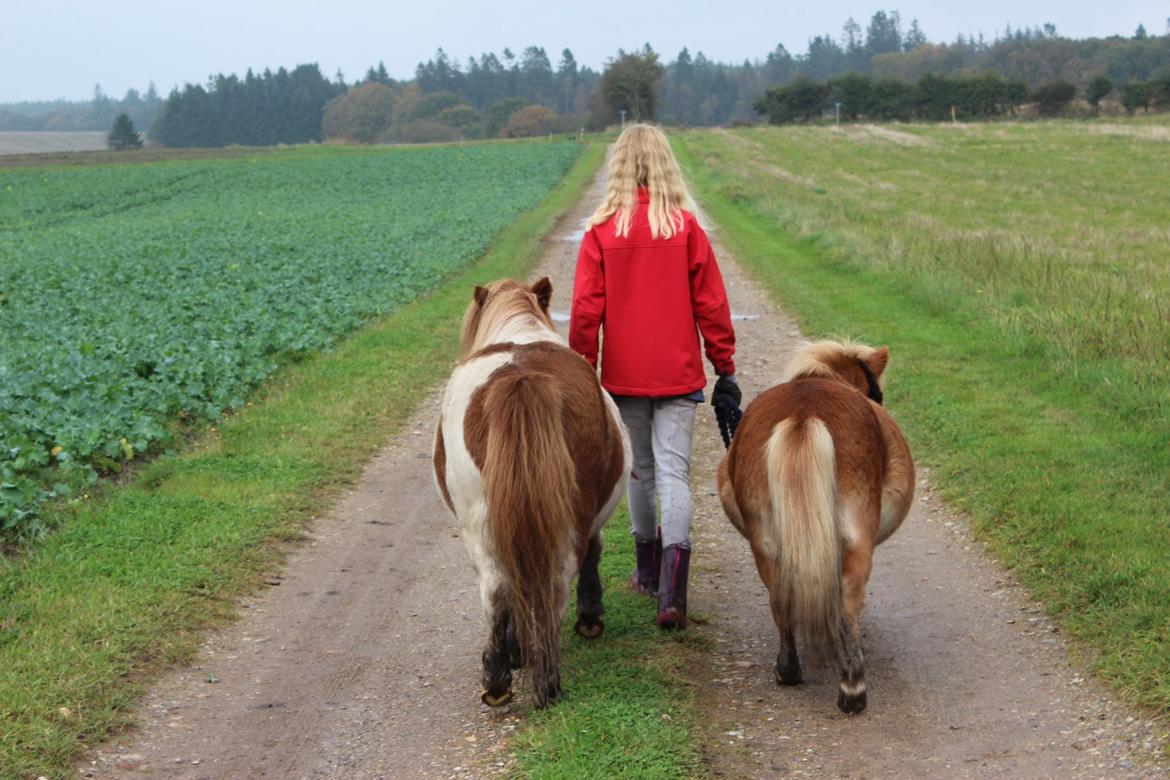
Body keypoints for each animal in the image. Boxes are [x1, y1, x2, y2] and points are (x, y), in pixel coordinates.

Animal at [432, 277, 631, 711]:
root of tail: (520, 379)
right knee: (540, 584)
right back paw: (535, 676)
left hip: (485, 523)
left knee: (506, 588)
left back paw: (508, 679)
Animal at [716, 339, 917, 715]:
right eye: (878, 392)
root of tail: (803, 413)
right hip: (856, 538)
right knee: (847, 600)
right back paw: (852, 687)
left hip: (766, 542)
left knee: (780, 597)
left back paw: (788, 670)